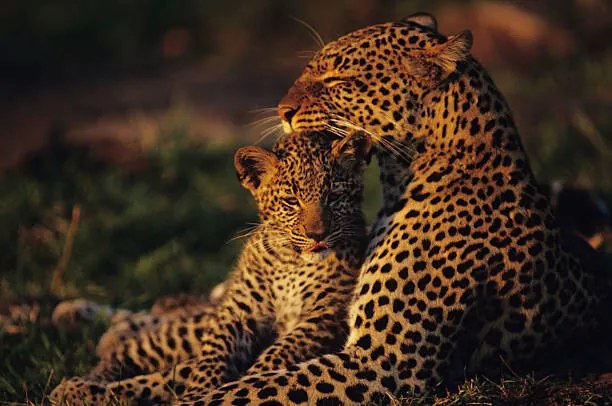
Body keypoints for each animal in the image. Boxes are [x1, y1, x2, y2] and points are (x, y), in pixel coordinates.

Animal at [49, 132, 368, 404]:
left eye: (334, 197)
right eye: (291, 201)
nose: (318, 235)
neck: (292, 261)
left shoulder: (323, 317)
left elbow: (279, 353)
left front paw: (248, 380)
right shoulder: (238, 313)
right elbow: (213, 354)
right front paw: (201, 389)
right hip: (189, 328)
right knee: (136, 348)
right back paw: (81, 375)